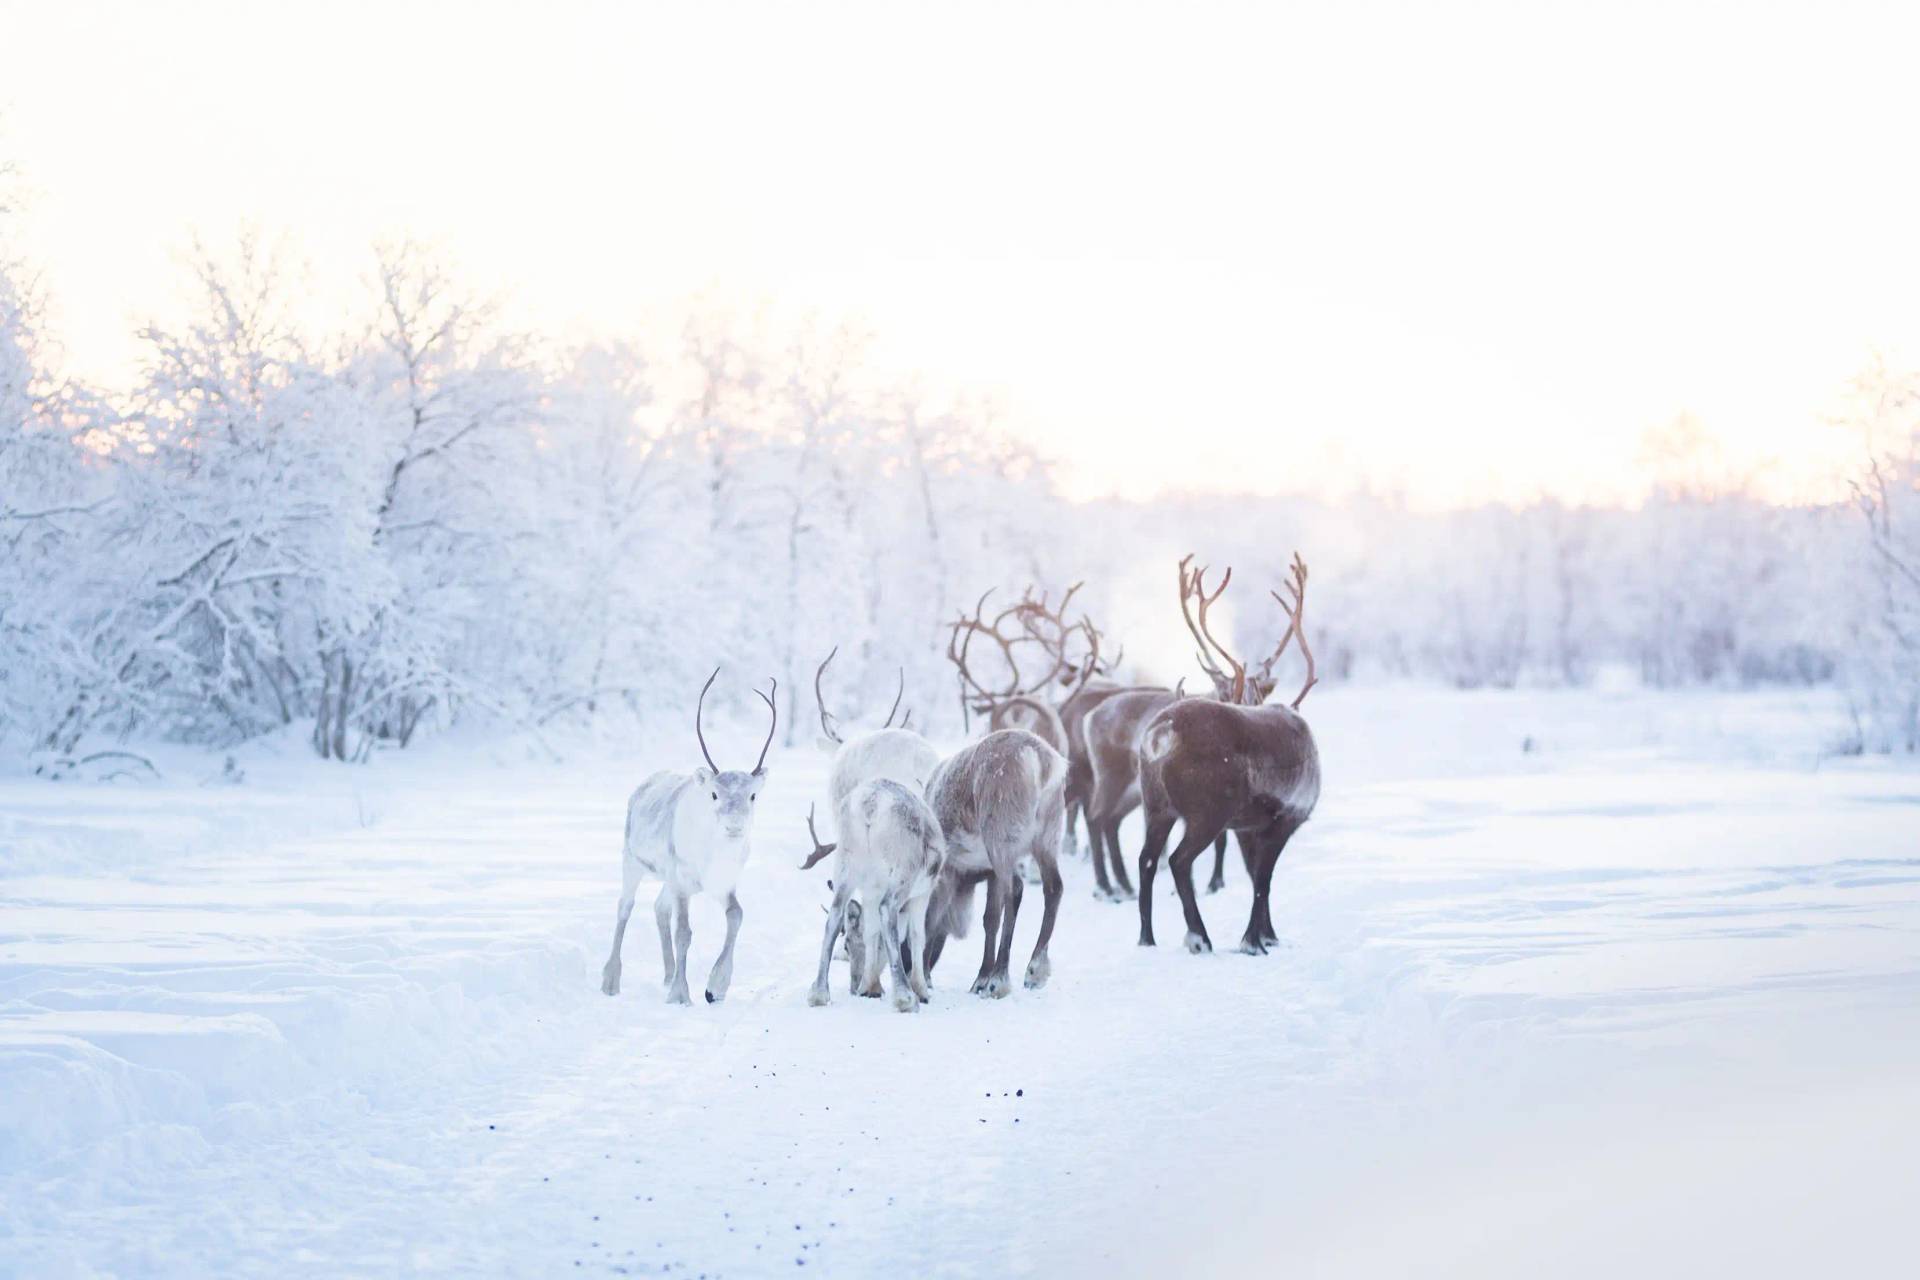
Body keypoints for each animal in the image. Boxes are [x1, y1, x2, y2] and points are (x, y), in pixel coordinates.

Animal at [599, 668, 778, 1005]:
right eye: (714, 794)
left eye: (753, 795)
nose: (734, 827)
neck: (711, 856)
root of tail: (641, 787)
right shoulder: (681, 879)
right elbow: (684, 931)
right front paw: (681, 995)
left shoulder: (722, 882)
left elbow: (736, 914)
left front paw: (715, 987)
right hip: (632, 861)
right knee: (624, 907)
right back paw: (611, 980)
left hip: (667, 879)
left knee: (659, 908)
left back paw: (668, 975)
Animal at [799, 647, 943, 1007]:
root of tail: (871, 803)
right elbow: (910, 929)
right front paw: (910, 984)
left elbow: (872, 924)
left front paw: (871, 981)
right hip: (894, 871)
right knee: (885, 911)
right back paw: (903, 991)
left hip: (853, 860)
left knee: (840, 912)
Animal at [922, 729, 1069, 998]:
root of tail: (1041, 760)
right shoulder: (989, 874)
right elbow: (989, 919)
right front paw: (980, 977)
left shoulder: (946, 872)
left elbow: (931, 919)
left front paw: (924, 976)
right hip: (1047, 836)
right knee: (1054, 887)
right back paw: (1035, 969)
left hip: (1001, 837)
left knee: (1017, 888)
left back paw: (999, 979)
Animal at [1135, 552, 1321, 956]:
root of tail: (1162, 731)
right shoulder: (1285, 817)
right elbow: (1263, 880)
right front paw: (1254, 941)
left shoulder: (1247, 827)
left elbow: (1255, 877)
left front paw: (1268, 935)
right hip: (1207, 811)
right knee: (1178, 860)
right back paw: (1199, 937)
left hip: (1157, 805)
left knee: (1147, 860)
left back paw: (1146, 938)